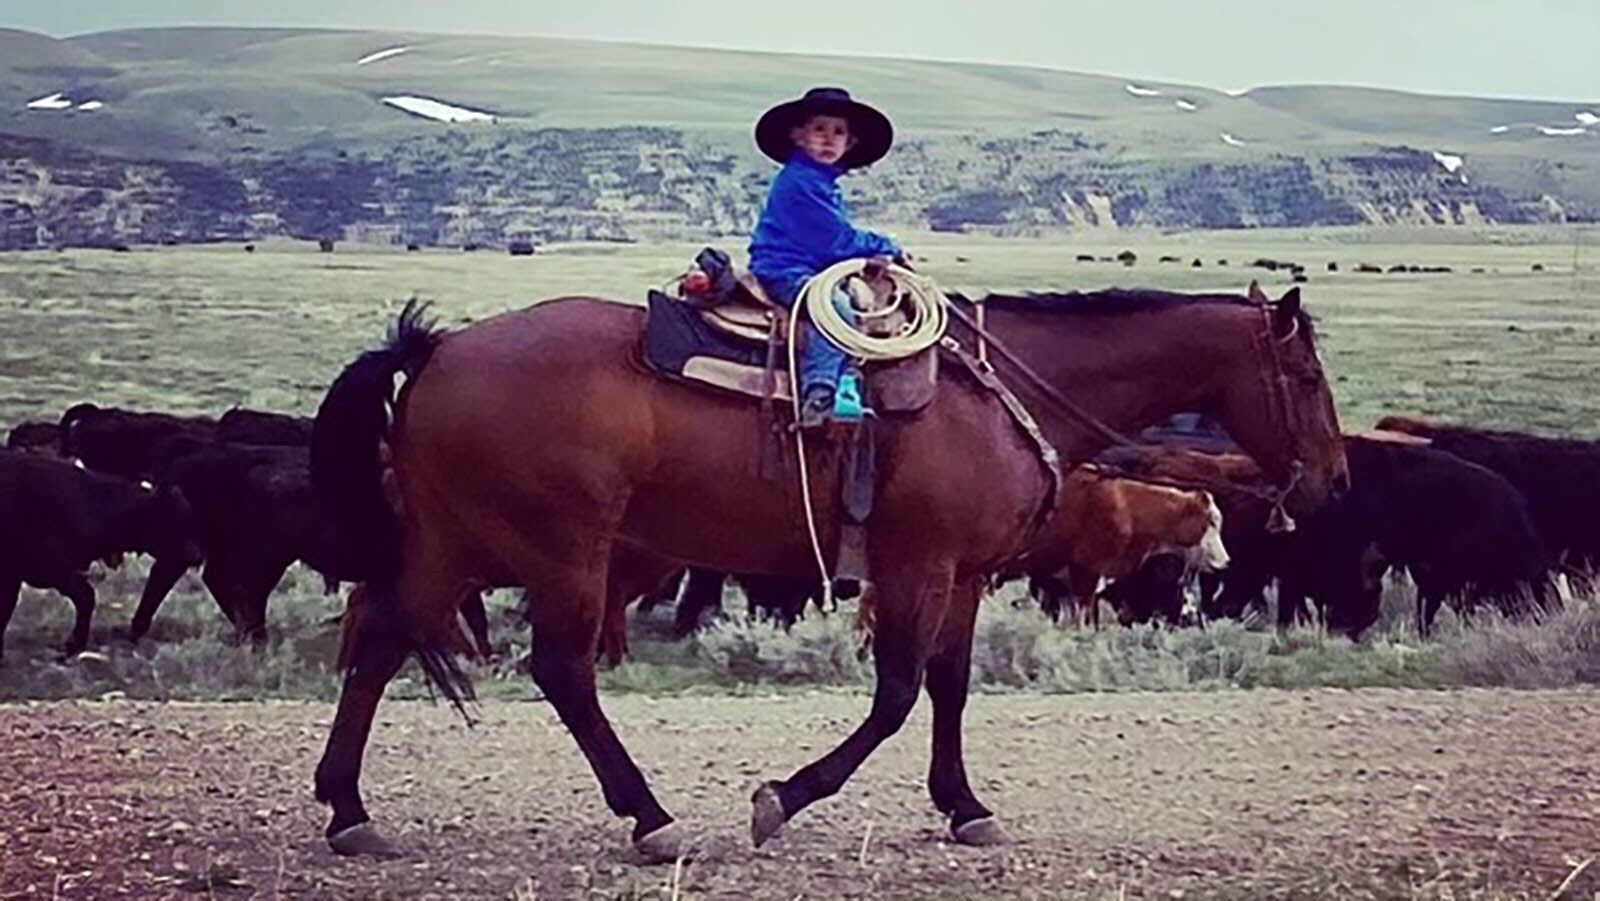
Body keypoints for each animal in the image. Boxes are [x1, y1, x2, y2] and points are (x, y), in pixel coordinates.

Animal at [0, 454, 201, 659]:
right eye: (174, 522)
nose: (198, 555)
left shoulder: (14, 574)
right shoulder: (52, 568)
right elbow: (86, 596)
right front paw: (73, 644)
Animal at [305, 284, 1344, 864]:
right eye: (1307, 379)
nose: (1333, 480)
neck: (1002, 391)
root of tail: (436, 350)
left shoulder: (962, 574)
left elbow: (950, 685)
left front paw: (964, 807)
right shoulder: (916, 566)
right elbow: (894, 694)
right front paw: (783, 798)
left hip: (455, 543)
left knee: (384, 638)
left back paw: (350, 810)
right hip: (564, 551)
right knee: (561, 670)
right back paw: (649, 818)